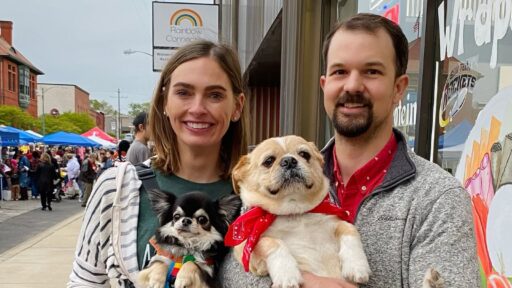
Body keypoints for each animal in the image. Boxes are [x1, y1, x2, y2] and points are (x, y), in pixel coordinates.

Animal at [232, 136, 372, 286]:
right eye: (268, 161)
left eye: (304, 154)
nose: (289, 161)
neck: (295, 211)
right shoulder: (246, 246)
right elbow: (271, 242)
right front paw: (286, 274)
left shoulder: (336, 223)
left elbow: (349, 229)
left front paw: (356, 265)